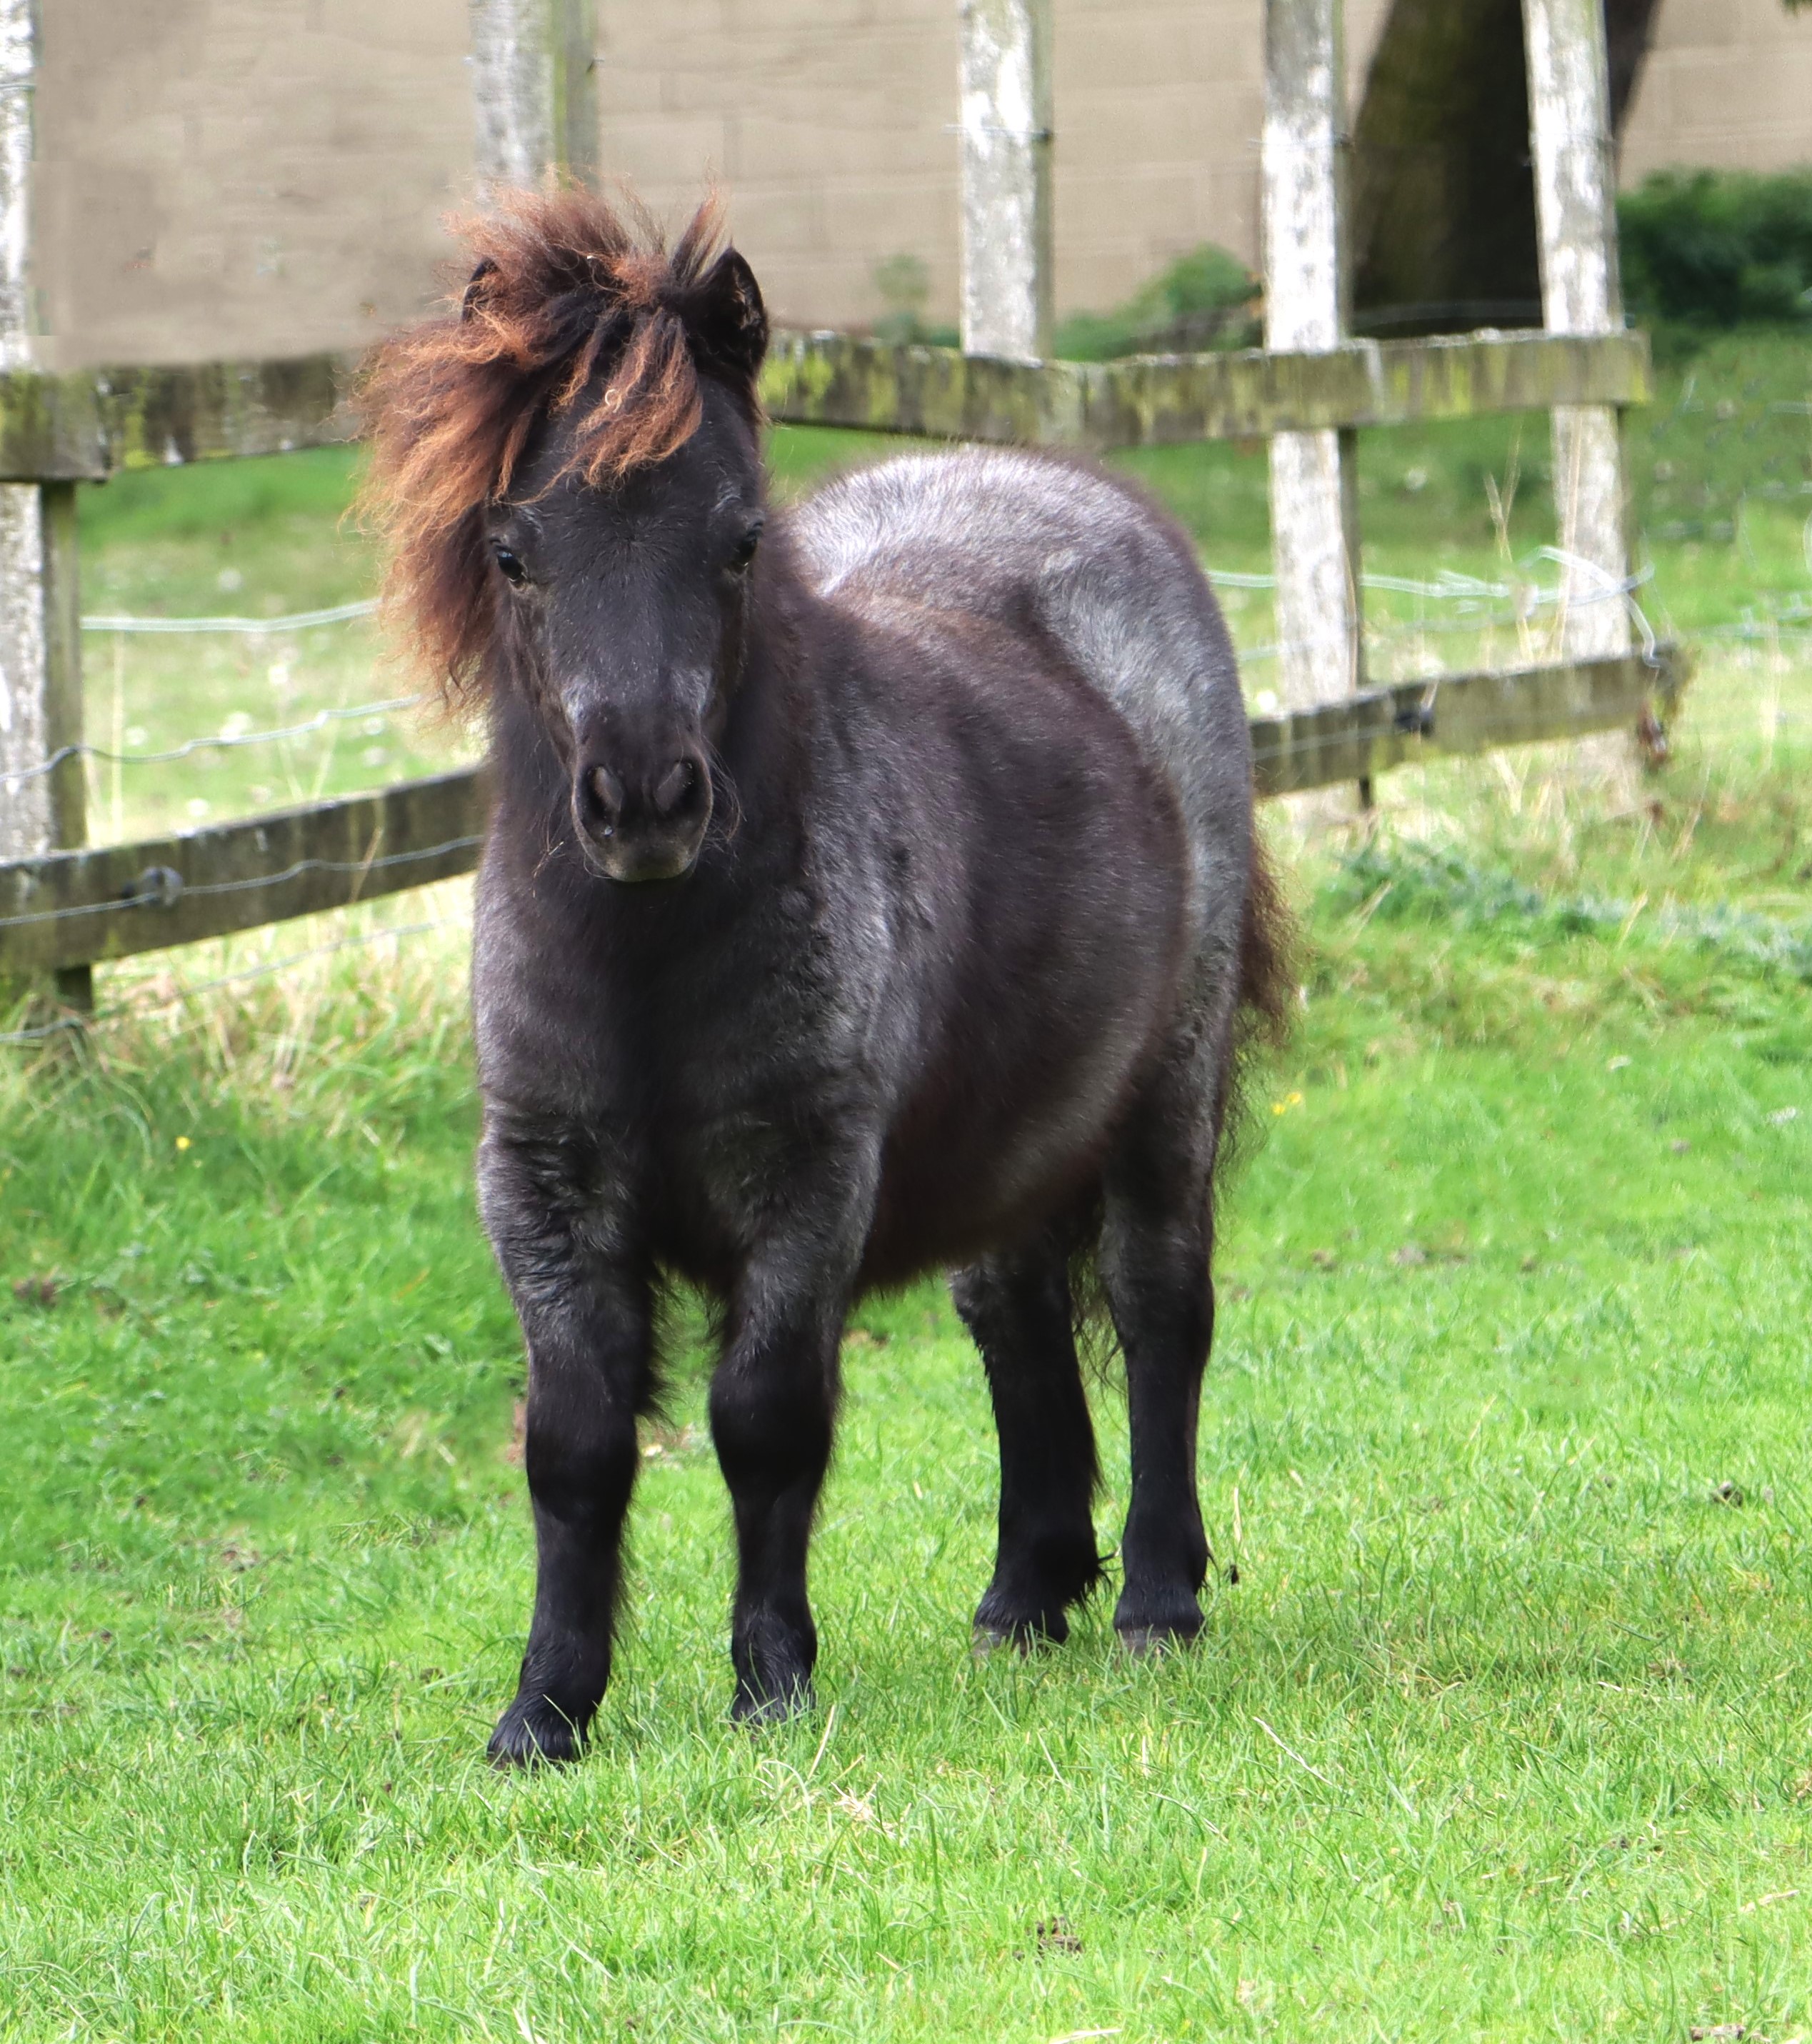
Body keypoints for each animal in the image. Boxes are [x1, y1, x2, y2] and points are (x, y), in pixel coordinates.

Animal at [366, 184, 1292, 1765]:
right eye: (512, 551)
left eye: (738, 543)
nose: (643, 799)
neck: (649, 966)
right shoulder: (540, 1187)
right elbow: (573, 1446)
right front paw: (543, 1713)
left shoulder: (802, 1177)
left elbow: (763, 1420)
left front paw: (770, 1683)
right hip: (1011, 1125)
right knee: (1011, 1318)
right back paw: (1024, 1594)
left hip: (1162, 1085)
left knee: (1158, 1303)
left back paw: (1154, 1599)